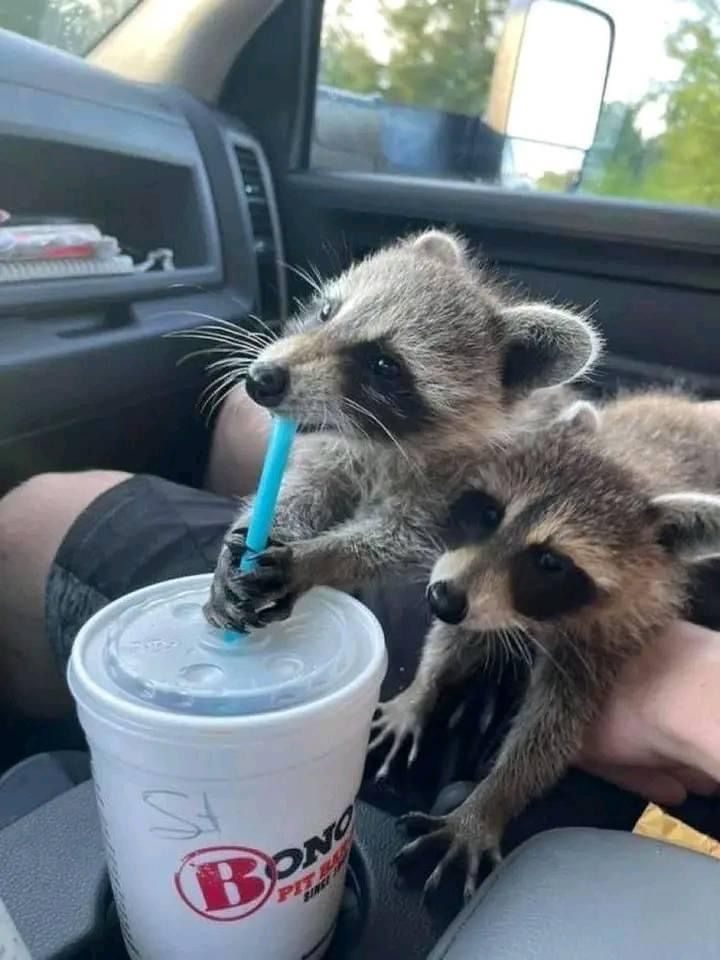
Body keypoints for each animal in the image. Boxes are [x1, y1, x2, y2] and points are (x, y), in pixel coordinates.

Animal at [205, 230, 600, 632]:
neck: (372, 440)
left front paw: (319, 558)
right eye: (326, 312)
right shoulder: (332, 450)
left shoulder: (465, 484)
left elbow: (402, 541)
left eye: (384, 365)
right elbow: (304, 487)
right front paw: (263, 530)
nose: (260, 380)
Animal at [374, 390, 720, 900]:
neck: (633, 463)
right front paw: (422, 690)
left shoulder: (615, 629)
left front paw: (491, 801)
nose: (441, 599)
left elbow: (553, 729)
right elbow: (460, 634)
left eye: (549, 562)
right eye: (491, 514)